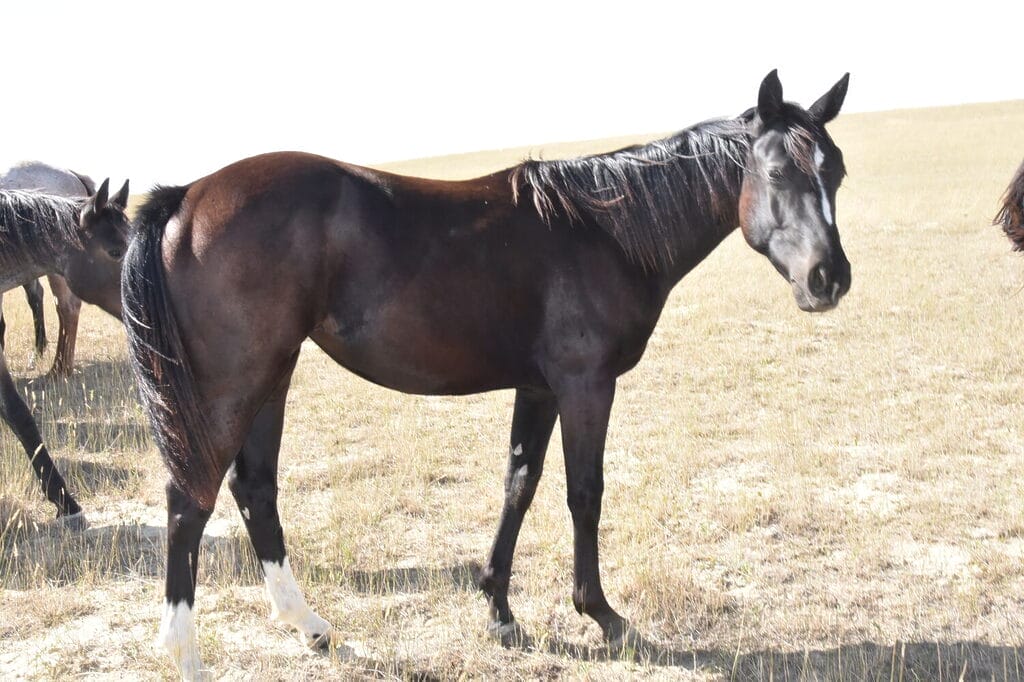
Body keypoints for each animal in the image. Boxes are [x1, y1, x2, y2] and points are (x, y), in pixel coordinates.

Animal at [123, 70, 851, 679]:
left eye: (837, 171)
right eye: (777, 169)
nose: (829, 279)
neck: (604, 230)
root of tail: (187, 197)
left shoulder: (539, 387)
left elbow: (519, 484)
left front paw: (499, 610)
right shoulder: (586, 386)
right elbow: (584, 493)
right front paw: (603, 615)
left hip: (272, 376)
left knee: (254, 490)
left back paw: (310, 627)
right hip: (232, 384)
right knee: (189, 500)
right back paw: (185, 652)